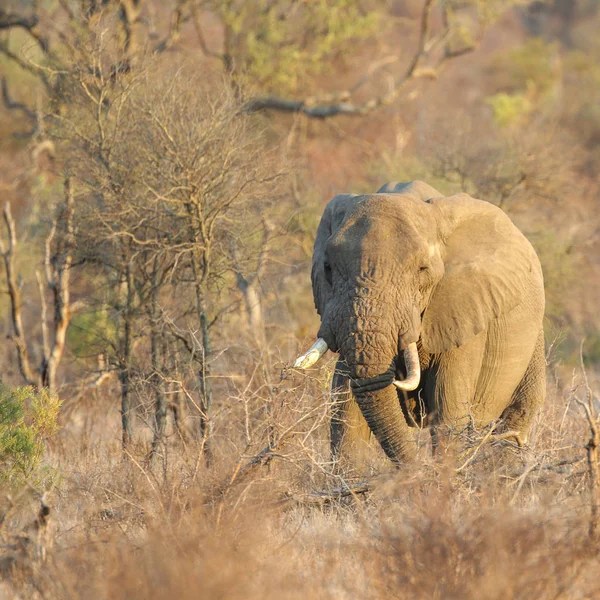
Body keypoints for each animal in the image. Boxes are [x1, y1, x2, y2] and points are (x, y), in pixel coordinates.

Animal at [292, 180, 548, 466]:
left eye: (422, 270)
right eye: (327, 267)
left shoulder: (464, 313)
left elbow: (448, 411)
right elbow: (347, 415)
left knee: (516, 417)